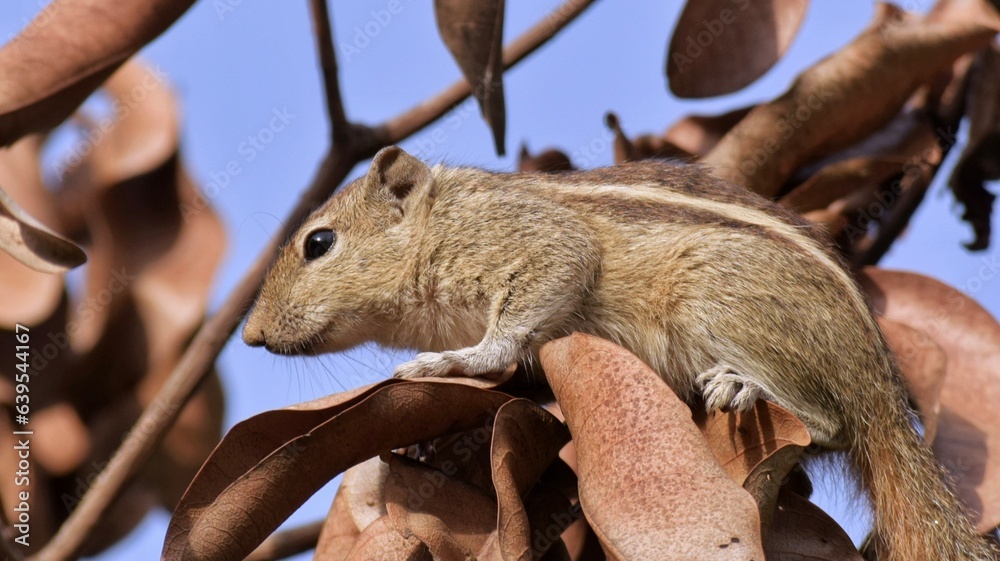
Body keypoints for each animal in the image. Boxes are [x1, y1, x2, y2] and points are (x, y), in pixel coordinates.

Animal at [243, 146, 995, 561]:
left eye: (318, 243)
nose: (250, 335)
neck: (440, 217)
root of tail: (883, 394)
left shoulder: (534, 248)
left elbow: (516, 323)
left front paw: (449, 364)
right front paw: (432, 439)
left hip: (715, 299)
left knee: (830, 420)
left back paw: (748, 386)